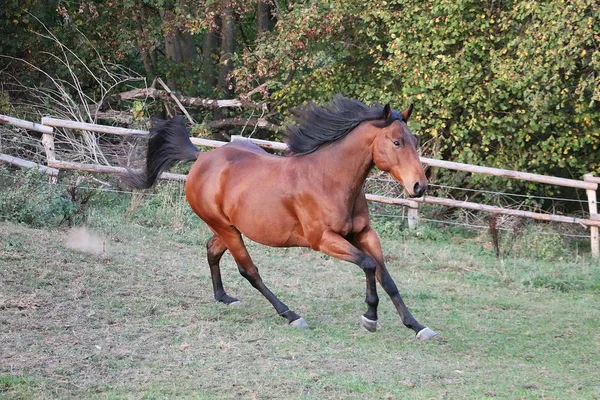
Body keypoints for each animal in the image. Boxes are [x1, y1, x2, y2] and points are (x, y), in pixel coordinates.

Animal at [126, 95, 436, 340]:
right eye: (396, 142)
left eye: (414, 141)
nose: (419, 187)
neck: (330, 179)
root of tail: (201, 158)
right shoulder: (323, 240)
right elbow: (369, 265)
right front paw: (370, 317)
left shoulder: (364, 234)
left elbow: (387, 278)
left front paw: (417, 326)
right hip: (226, 228)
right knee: (249, 271)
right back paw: (290, 314)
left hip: (230, 227)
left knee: (212, 250)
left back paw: (224, 297)